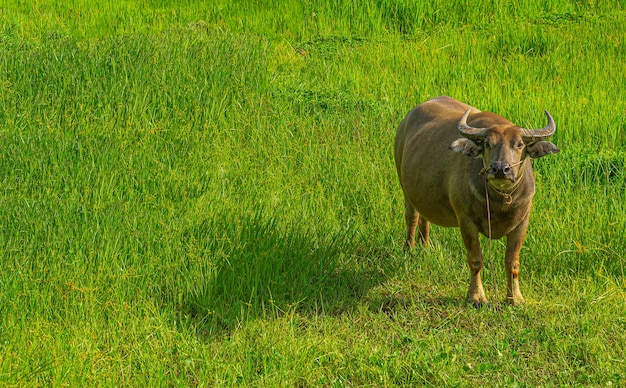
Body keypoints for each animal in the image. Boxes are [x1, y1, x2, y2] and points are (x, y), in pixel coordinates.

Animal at [392, 96, 560, 306]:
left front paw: (515, 298)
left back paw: (425, 246)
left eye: (519, 144)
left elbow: (512, 262)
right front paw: (476, 297)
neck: (500, 202)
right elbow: (475, 259)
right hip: (404, 186)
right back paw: (409, 249)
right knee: (411, 217)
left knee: (425, 218)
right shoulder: (466, 221)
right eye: (487, 143)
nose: (500, 169)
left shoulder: (522, 223)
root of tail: (405, 122)